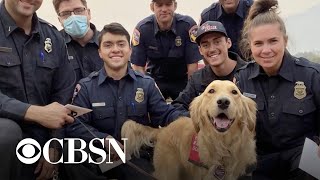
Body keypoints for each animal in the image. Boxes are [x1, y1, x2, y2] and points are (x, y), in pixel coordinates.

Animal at [121, 80, 256, 180]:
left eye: (234, 92)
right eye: (211, 91)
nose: (223, 102)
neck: (221, 145)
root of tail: (164, 129)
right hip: (168, 171)